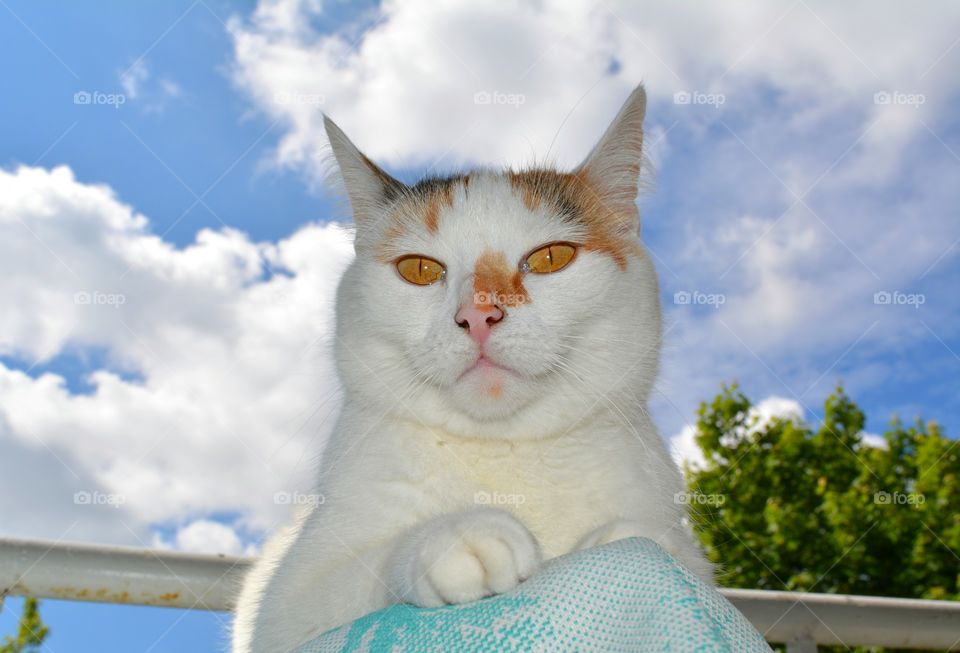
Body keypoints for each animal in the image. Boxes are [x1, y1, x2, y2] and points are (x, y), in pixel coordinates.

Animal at [232, 86, 712, 652]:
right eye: (419, 269)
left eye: (551, 258)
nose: (479, 315)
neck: (507, 451)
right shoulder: (285, 607)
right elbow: (350, 579)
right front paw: (453, 538)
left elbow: (660, 550)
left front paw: (630, 539)